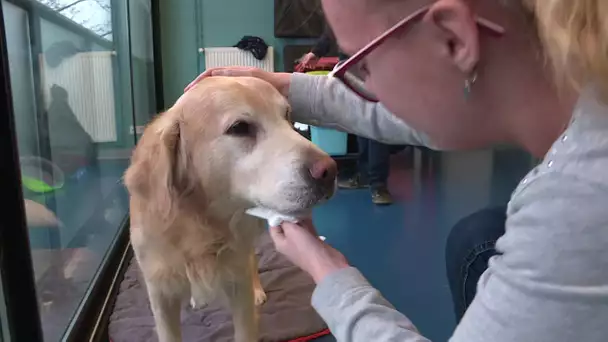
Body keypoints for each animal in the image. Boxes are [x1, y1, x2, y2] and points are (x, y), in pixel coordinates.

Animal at [123, 77, 338, 342]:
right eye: (239, 127)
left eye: (287, 115)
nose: (330, 171)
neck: (200, 226)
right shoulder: (161, 295)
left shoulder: (238, 287)